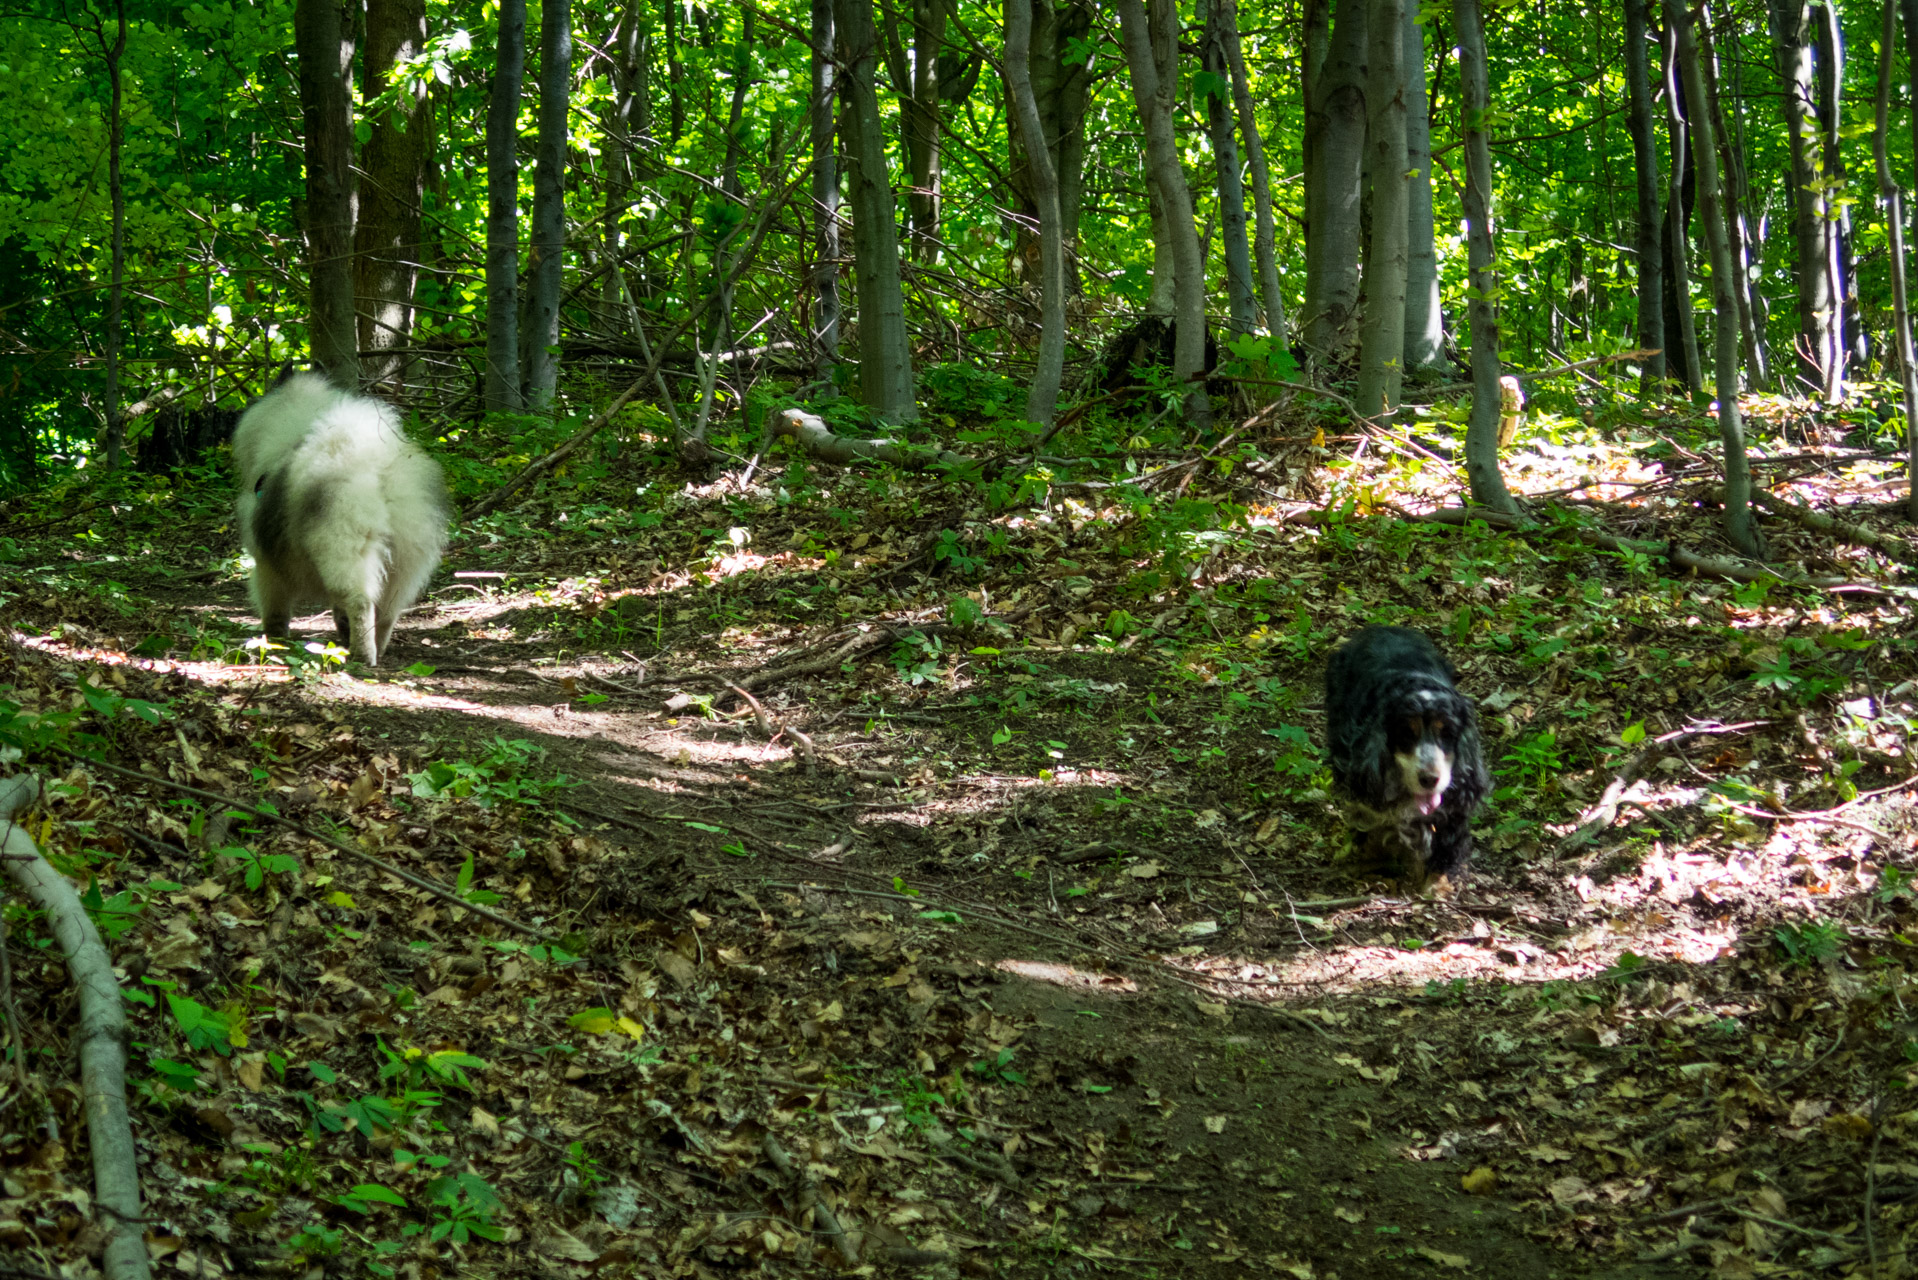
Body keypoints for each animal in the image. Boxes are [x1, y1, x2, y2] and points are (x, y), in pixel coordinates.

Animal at [230, 376, 446, 667]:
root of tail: (379, 472)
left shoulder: (266, 563)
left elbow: (274, 607)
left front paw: (273, 639)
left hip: (342, 549)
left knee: (360, 602)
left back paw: (363, 655)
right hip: (404, 564)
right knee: (386, 613)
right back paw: (377, 648)